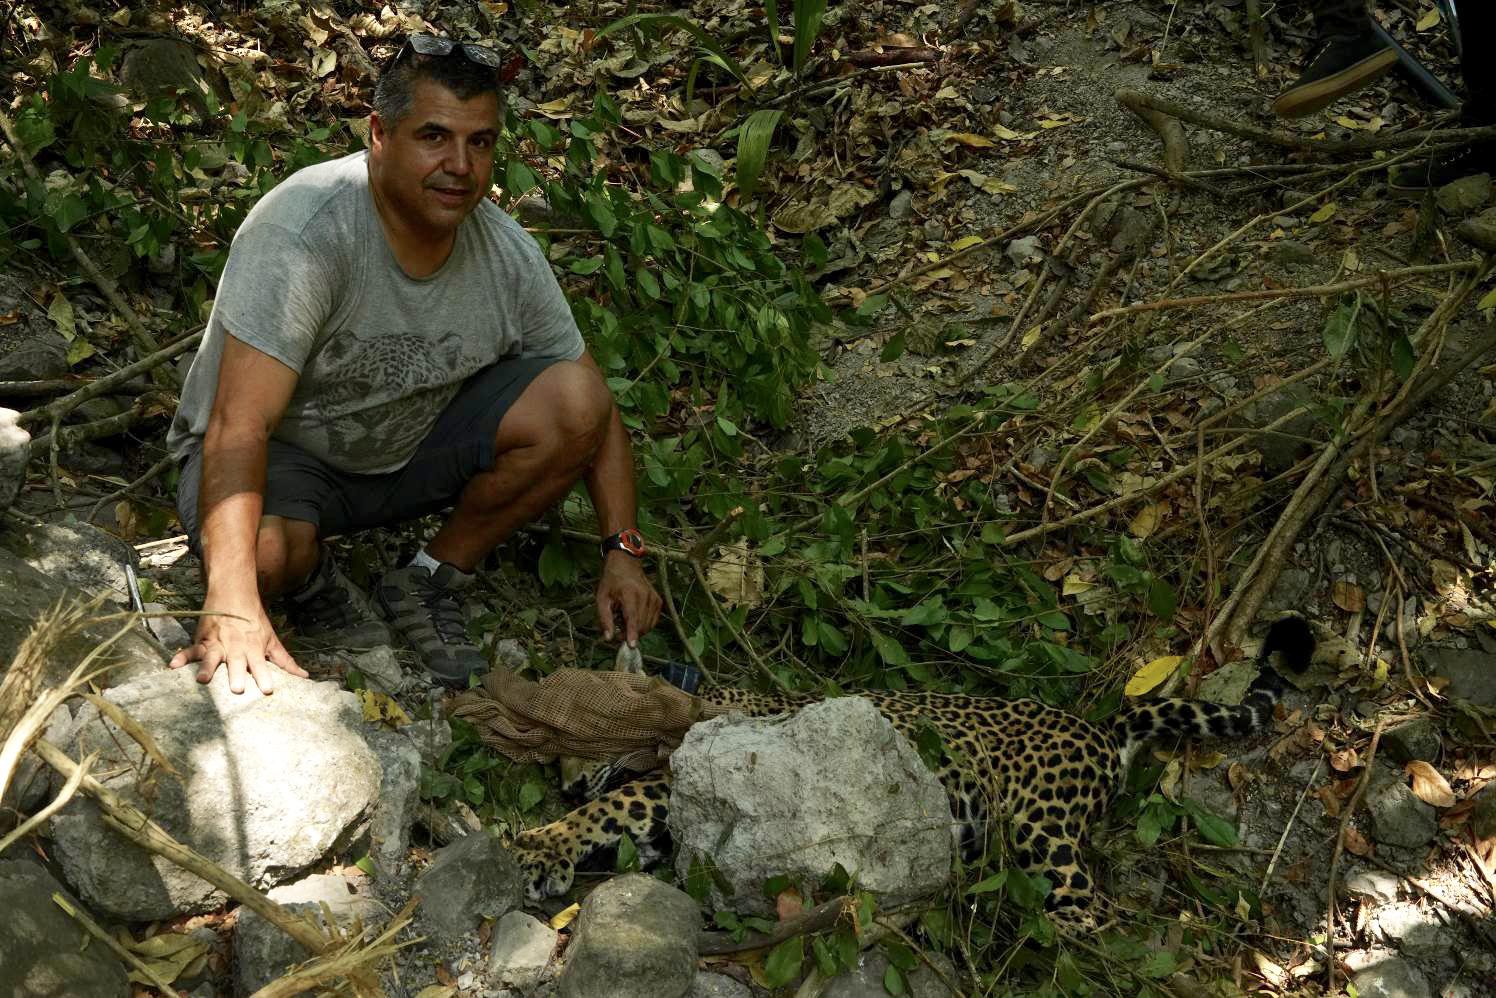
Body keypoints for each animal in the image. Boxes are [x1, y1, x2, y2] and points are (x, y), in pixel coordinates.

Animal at [509, 616, 1314, 933]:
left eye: (575, 729)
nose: (566, 779)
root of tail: (1097, 729)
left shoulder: (677, 781)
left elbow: (610, 807)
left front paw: (541, 846)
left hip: (1040, 832)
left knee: (1097, 916)